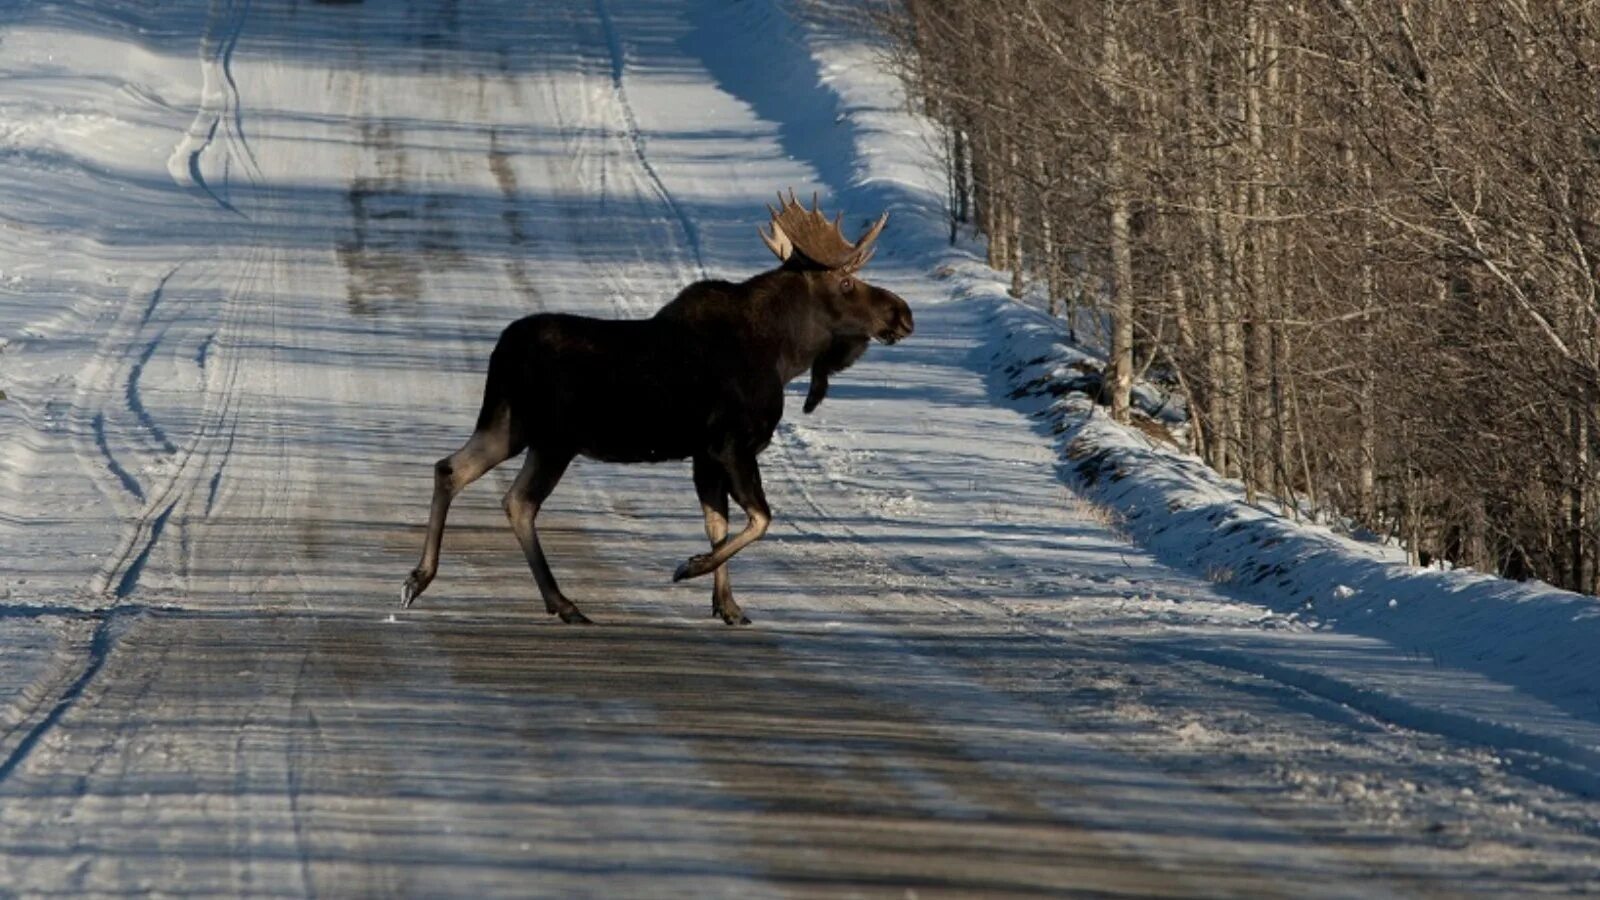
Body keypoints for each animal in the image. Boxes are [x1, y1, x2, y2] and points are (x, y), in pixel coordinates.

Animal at [398, 188, 915, 624]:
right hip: (552, 440)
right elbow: (759, 519)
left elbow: (718, 523)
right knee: (517, 500)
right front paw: (690, 567)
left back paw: (424, 580)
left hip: (509, 426)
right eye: (846, 282)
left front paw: (728, 606)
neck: (786, 354)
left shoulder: (704, 456)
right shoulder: (731, 444)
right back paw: (559, 601)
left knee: (452, 470)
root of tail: (501, 352)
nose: (904, 313)